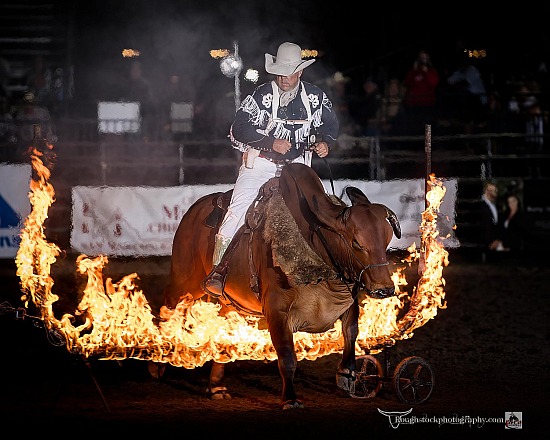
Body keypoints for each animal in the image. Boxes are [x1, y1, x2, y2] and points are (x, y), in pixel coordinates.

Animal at [164, 163, 402, 410]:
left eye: (386, 240)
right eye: (357, 243)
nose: (384, 289)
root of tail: (194, 211)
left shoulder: (347, 300)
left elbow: (351, 331)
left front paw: (347, 374)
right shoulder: (276, 310)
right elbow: (287, 356)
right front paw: (290, 398)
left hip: (229, 302)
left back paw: (216, 386)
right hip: (186, 281)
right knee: (168, 305)